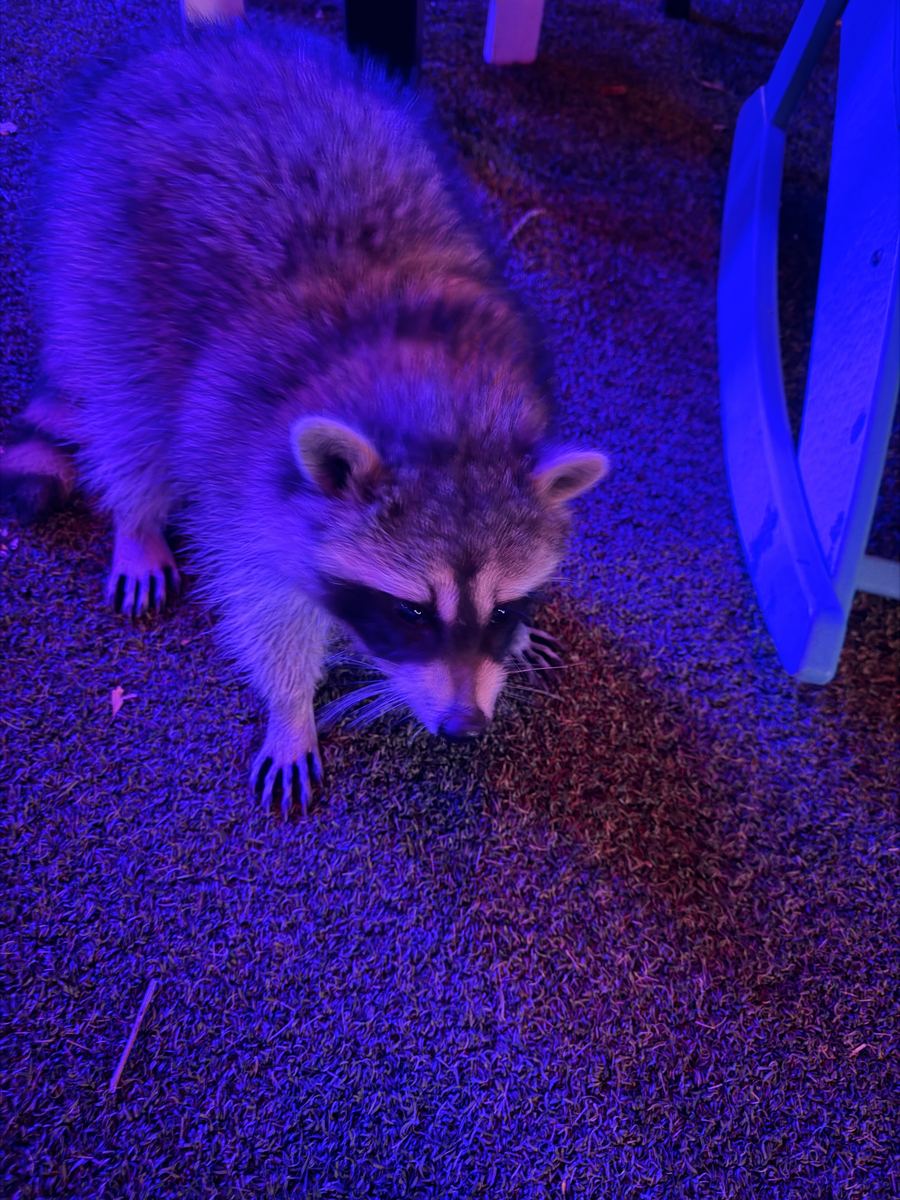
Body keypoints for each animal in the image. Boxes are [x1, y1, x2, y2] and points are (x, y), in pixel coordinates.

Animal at [2, 26, 609, 814]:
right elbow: (263, 604)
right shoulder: (245, 470)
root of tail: (190, 47)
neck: (446, 412)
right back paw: (136, 518)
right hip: (98, 246)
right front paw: (289, 707)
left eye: (501, 609)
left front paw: (519, 640)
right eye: (413, 613)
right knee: (130, 407)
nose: (464, 726)